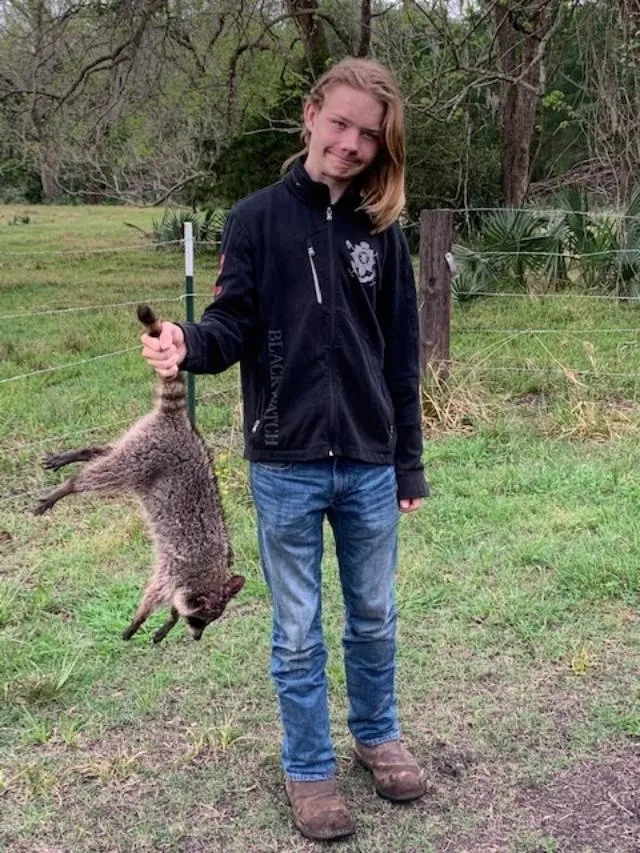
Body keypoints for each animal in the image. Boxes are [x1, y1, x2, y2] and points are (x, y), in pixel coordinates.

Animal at [34, 302, 245, 644]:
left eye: (210, 621)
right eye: (201, 619)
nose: (198, 637)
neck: (207, 573)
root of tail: (178, 422)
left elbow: (169, 601)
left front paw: (168, 622)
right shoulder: (174, 569)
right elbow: (154, 592)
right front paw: (142, 618)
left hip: (140, 444)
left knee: (107, 454)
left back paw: (81, 454)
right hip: (147, 455)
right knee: (105, 473)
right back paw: (70, 485)